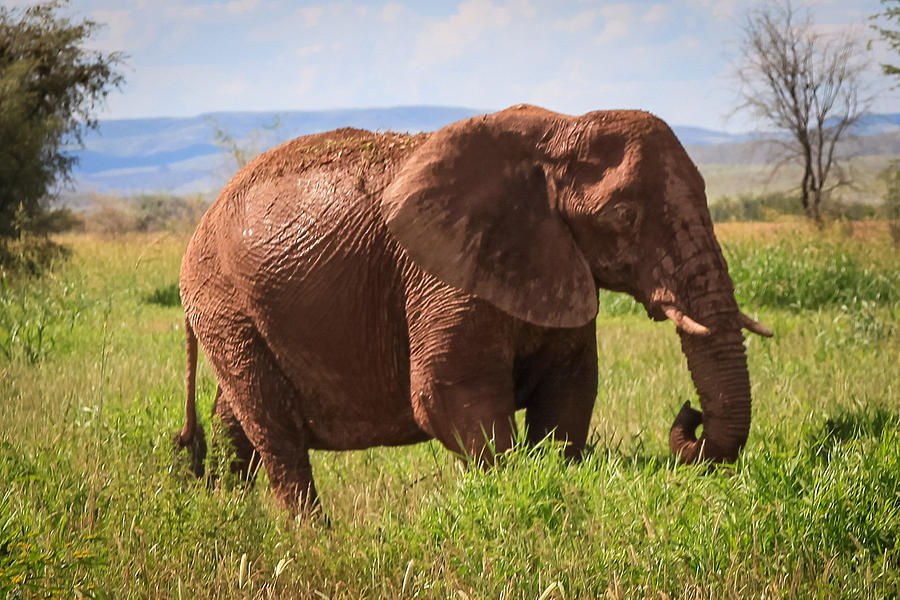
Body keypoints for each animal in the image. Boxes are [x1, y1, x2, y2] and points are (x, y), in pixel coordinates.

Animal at [176, 104, 772, 516]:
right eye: (623, 215)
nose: (689, 413)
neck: (559, 130)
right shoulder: (443, 270)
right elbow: (449, 396)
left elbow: (569, 397)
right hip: (224, 304)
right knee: (275, 432)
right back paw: (314, 542)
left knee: (235, 425)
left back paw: (230, 522)